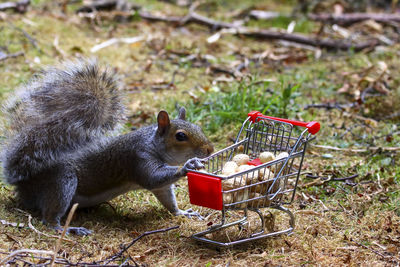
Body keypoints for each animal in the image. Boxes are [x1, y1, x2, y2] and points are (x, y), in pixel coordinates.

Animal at [1, 59, 214, 237]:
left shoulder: (159, 185)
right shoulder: (138, 157)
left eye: (198, 127)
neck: (153, 143)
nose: (210, 150)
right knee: (49, 218)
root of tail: (24, 183)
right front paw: (188, 165)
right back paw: (67, 228)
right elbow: (153, 178)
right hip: (60, 182)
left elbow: (165, 195)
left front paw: (182, 212)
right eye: (180, 136)